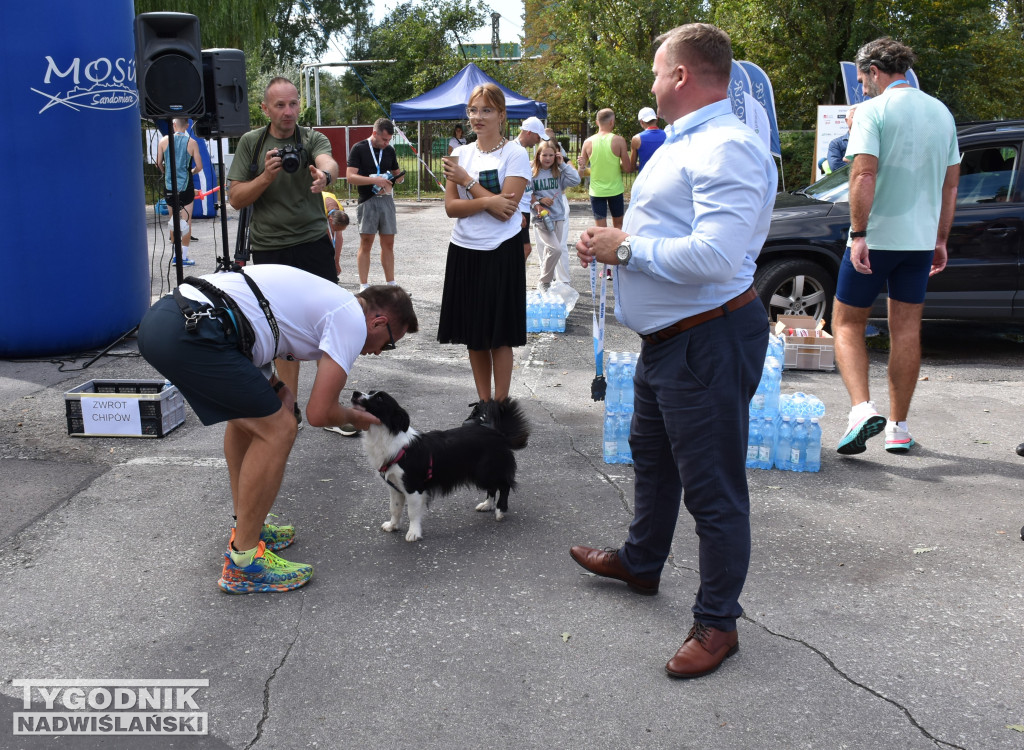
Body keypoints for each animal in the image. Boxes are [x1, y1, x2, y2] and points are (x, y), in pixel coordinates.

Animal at [350, 389, 528, 540]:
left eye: (380, 398)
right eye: (369, 391)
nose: (355, 393)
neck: (387, 437)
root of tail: (499, 434)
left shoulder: (414, 487)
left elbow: (412, 512)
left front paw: (413, 533)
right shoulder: (395, 487)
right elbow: (394, 508)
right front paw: (392, 526)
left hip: (485, 471)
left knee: (504, 485)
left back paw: (499, 510)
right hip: (483, 473)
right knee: (493, 487)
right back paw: (487, 505)